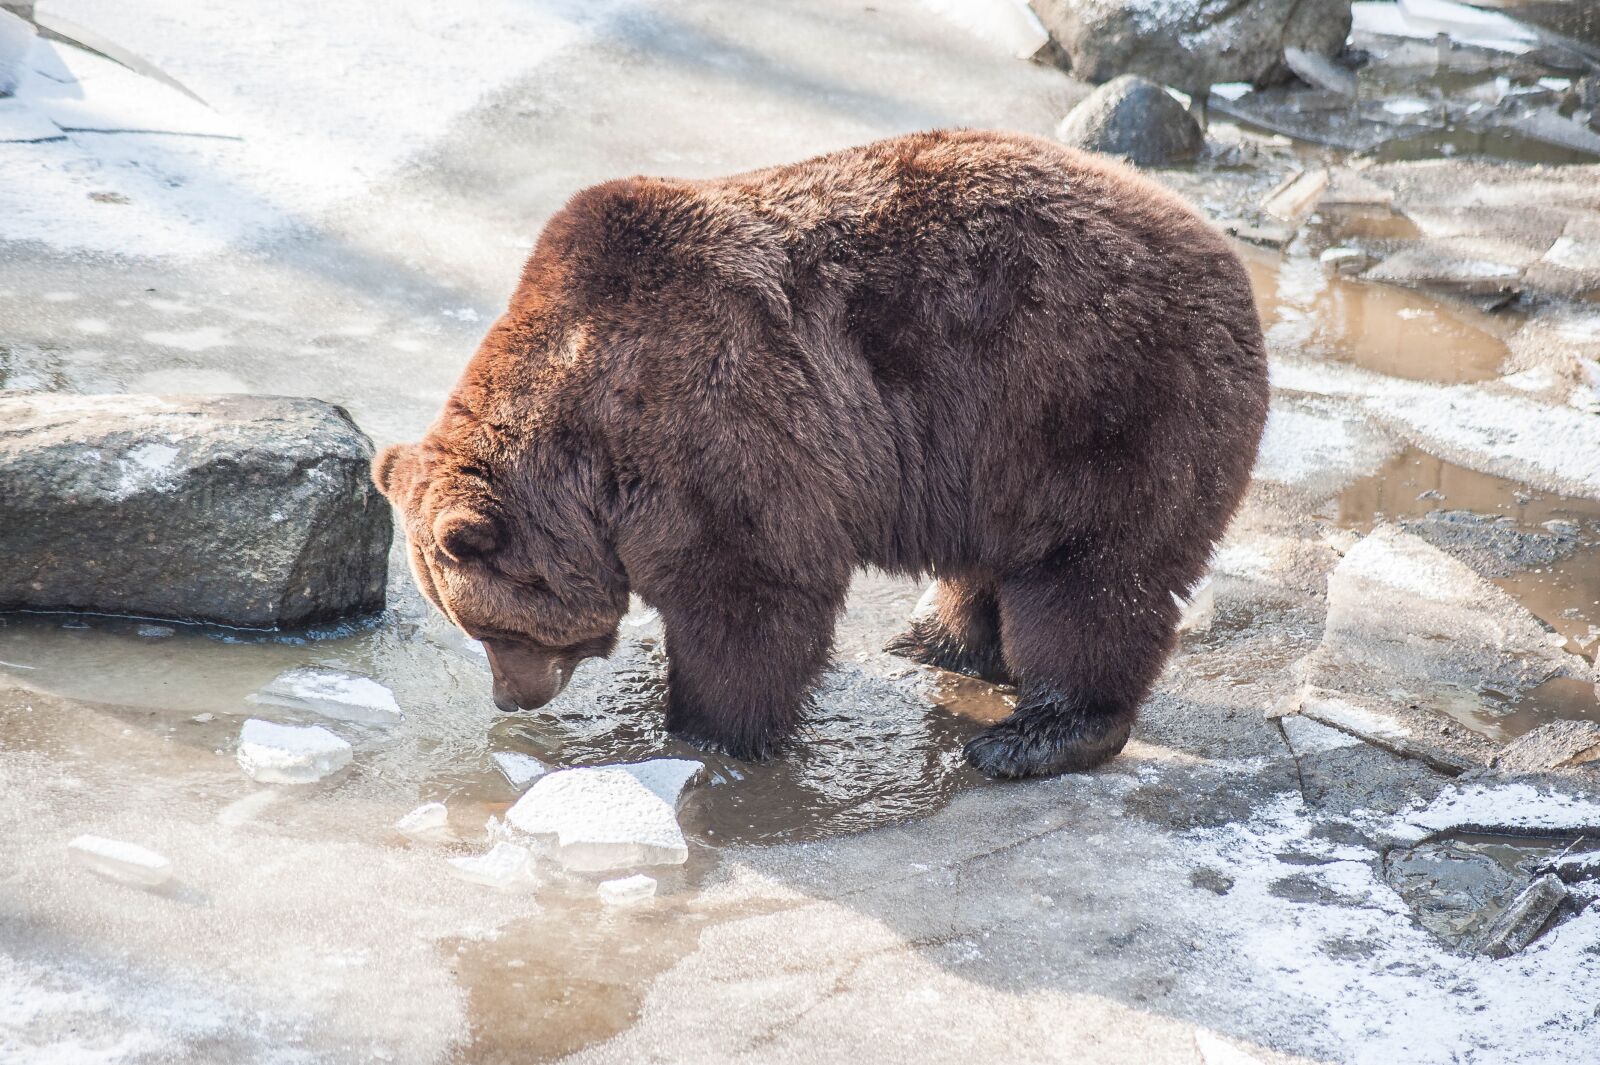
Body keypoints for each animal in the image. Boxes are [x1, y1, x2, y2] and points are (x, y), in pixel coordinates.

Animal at [373, 128, 1268, 778]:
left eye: (491, 627)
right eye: (468, 625)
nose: (508, 700)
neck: (591, 448)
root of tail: (1224, 253)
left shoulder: (717, 420)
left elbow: (751, 592)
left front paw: (705, 728)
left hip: (1100, 403)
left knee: (1093, 577)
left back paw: (1034, 736)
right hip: (1007, 451)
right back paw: (937, 639)